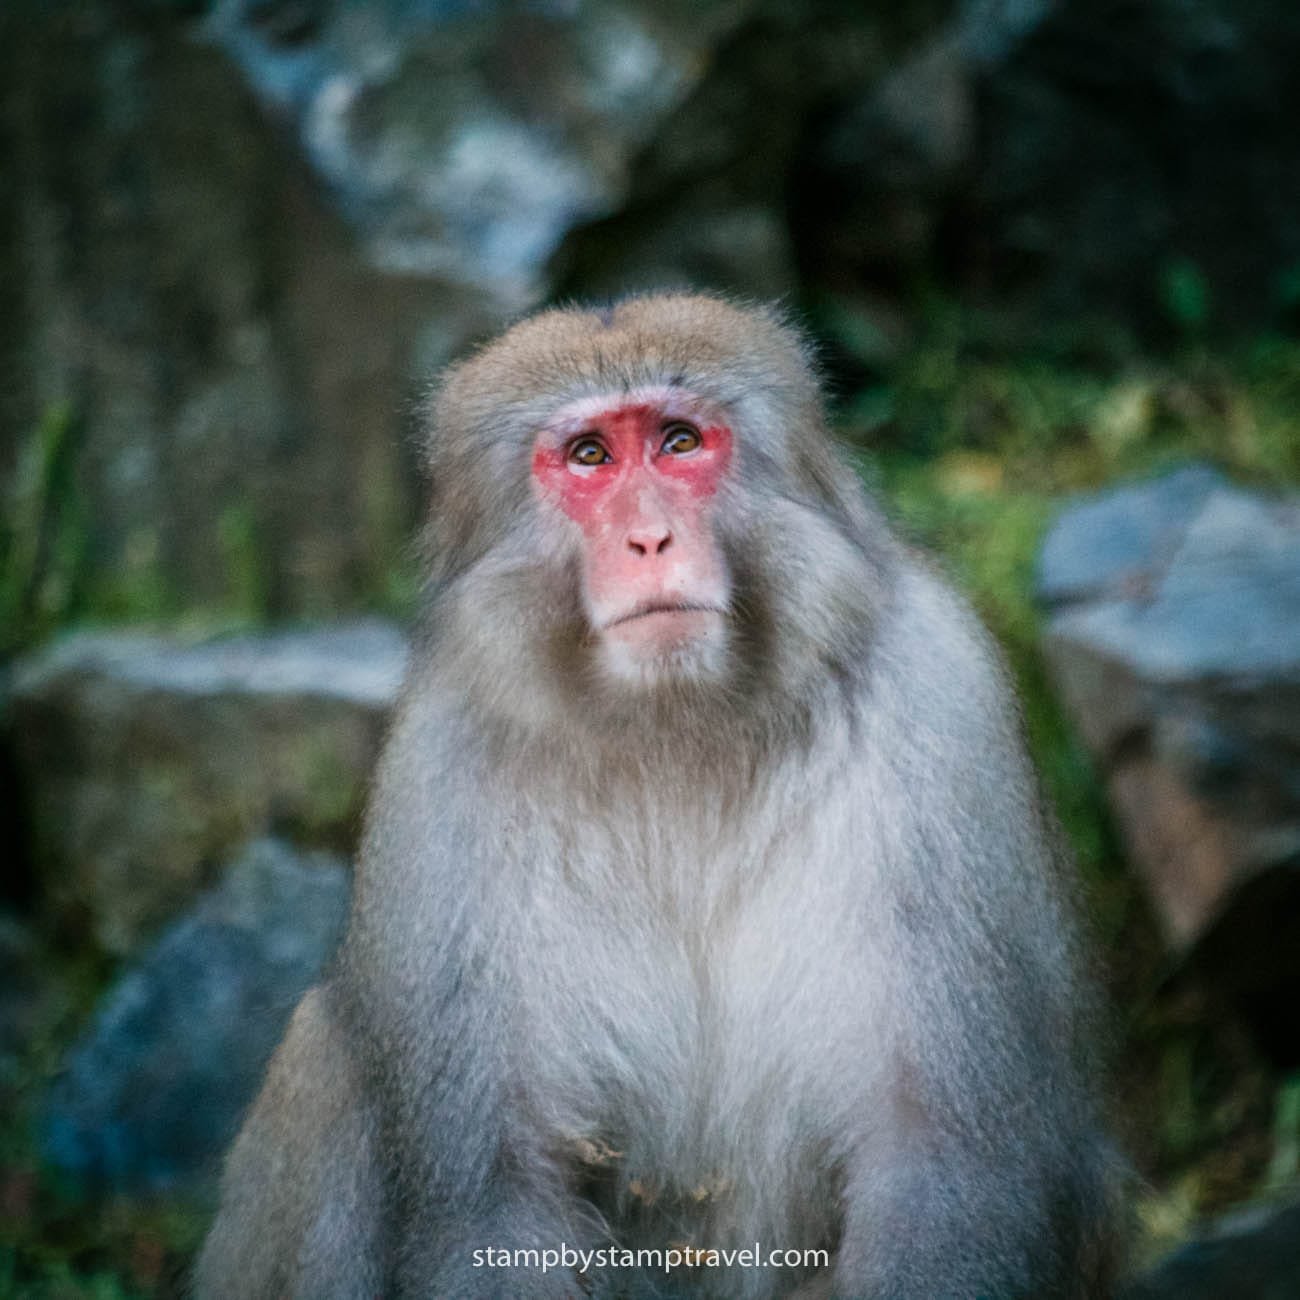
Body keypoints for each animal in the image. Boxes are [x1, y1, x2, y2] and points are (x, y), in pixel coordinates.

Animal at [194, 293, 1122, 1299]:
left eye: (679, 442)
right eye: (590, 455)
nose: (650, 539)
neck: (677, 734)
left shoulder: (938, 698)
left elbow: (945, 1174)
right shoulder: (438, 773)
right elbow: (488, 1203)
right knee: (324, 1058)